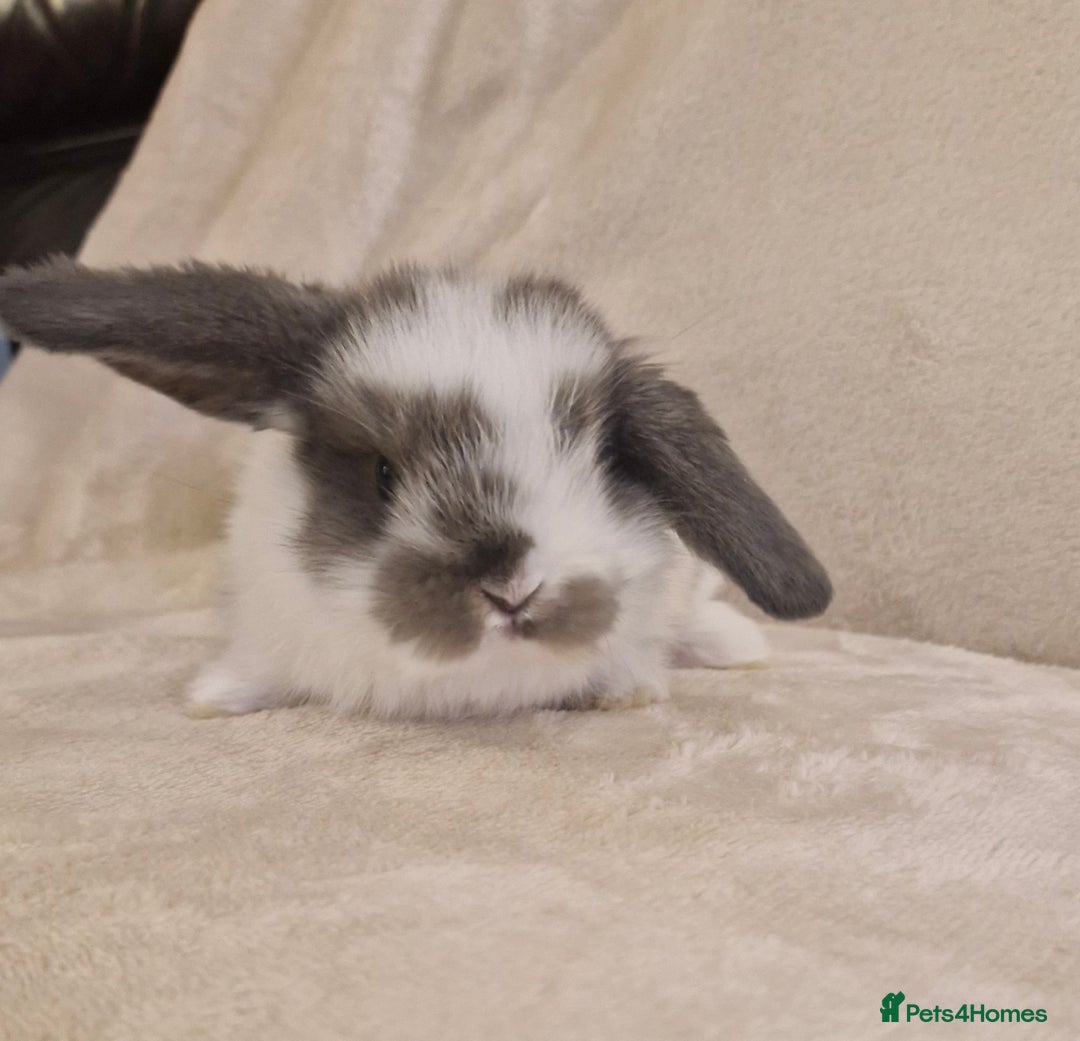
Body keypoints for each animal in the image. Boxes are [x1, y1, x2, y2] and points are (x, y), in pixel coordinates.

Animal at [0, 259, 832, 719]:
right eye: (382, 473)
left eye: (600, 458)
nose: (512, 589)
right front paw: (215, 696)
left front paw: (627, 690)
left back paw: (734, 644)